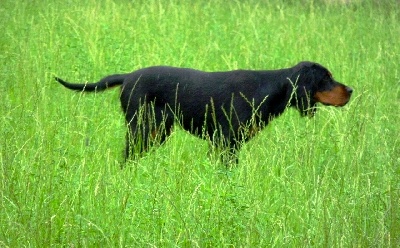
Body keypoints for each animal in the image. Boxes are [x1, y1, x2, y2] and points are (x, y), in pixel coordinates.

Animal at [55, 61, 354, 164]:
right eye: (326, 77)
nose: (350, 89)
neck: (268, 89)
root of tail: (128, 77)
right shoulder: (227, 142)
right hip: (142, 127)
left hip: (157, 131)